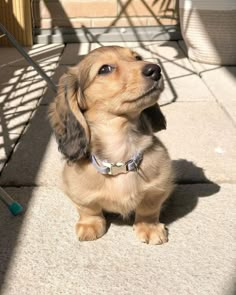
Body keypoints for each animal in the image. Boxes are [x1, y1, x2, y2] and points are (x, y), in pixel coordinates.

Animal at [48, 46, 174, 245]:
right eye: (105, 69)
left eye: (137, 57)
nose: (155, 70)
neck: (120, 157)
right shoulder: (75, 189)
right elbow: (88, 208)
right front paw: (90, 224)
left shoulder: (160, 185)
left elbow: (149, 207)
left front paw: (149, 226)